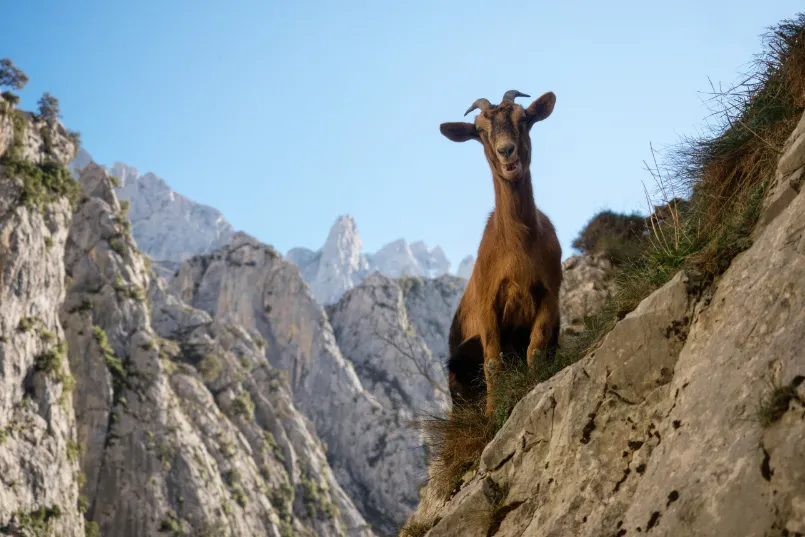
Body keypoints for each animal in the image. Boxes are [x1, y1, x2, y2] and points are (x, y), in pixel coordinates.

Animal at [436, 89, 564, 414]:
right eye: (480, 131)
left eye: (524, 118)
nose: (507, 151)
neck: (517, 248)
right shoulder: (487, 305)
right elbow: (493, 363)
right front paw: (494, 413)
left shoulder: (550, 294)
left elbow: (536, 349)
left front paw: (537, 384)